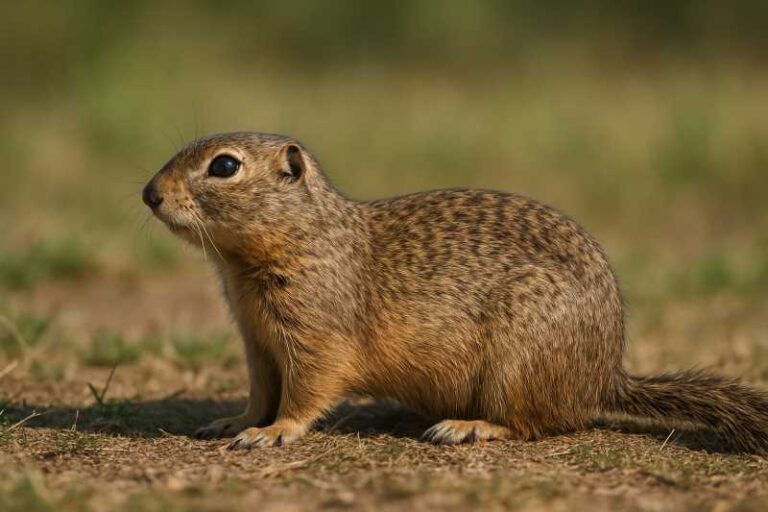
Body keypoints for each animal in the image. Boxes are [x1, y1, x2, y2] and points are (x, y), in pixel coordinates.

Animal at [142, 132, 768, 452]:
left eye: (224, 166)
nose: (149, 193)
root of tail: (605, 376)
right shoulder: (258, 342)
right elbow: (259, 391)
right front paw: (234, 422)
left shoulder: (316, 337)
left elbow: (305, 394)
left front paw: (272, 433)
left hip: (517, 365)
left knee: (537, 424)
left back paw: (468, 426)